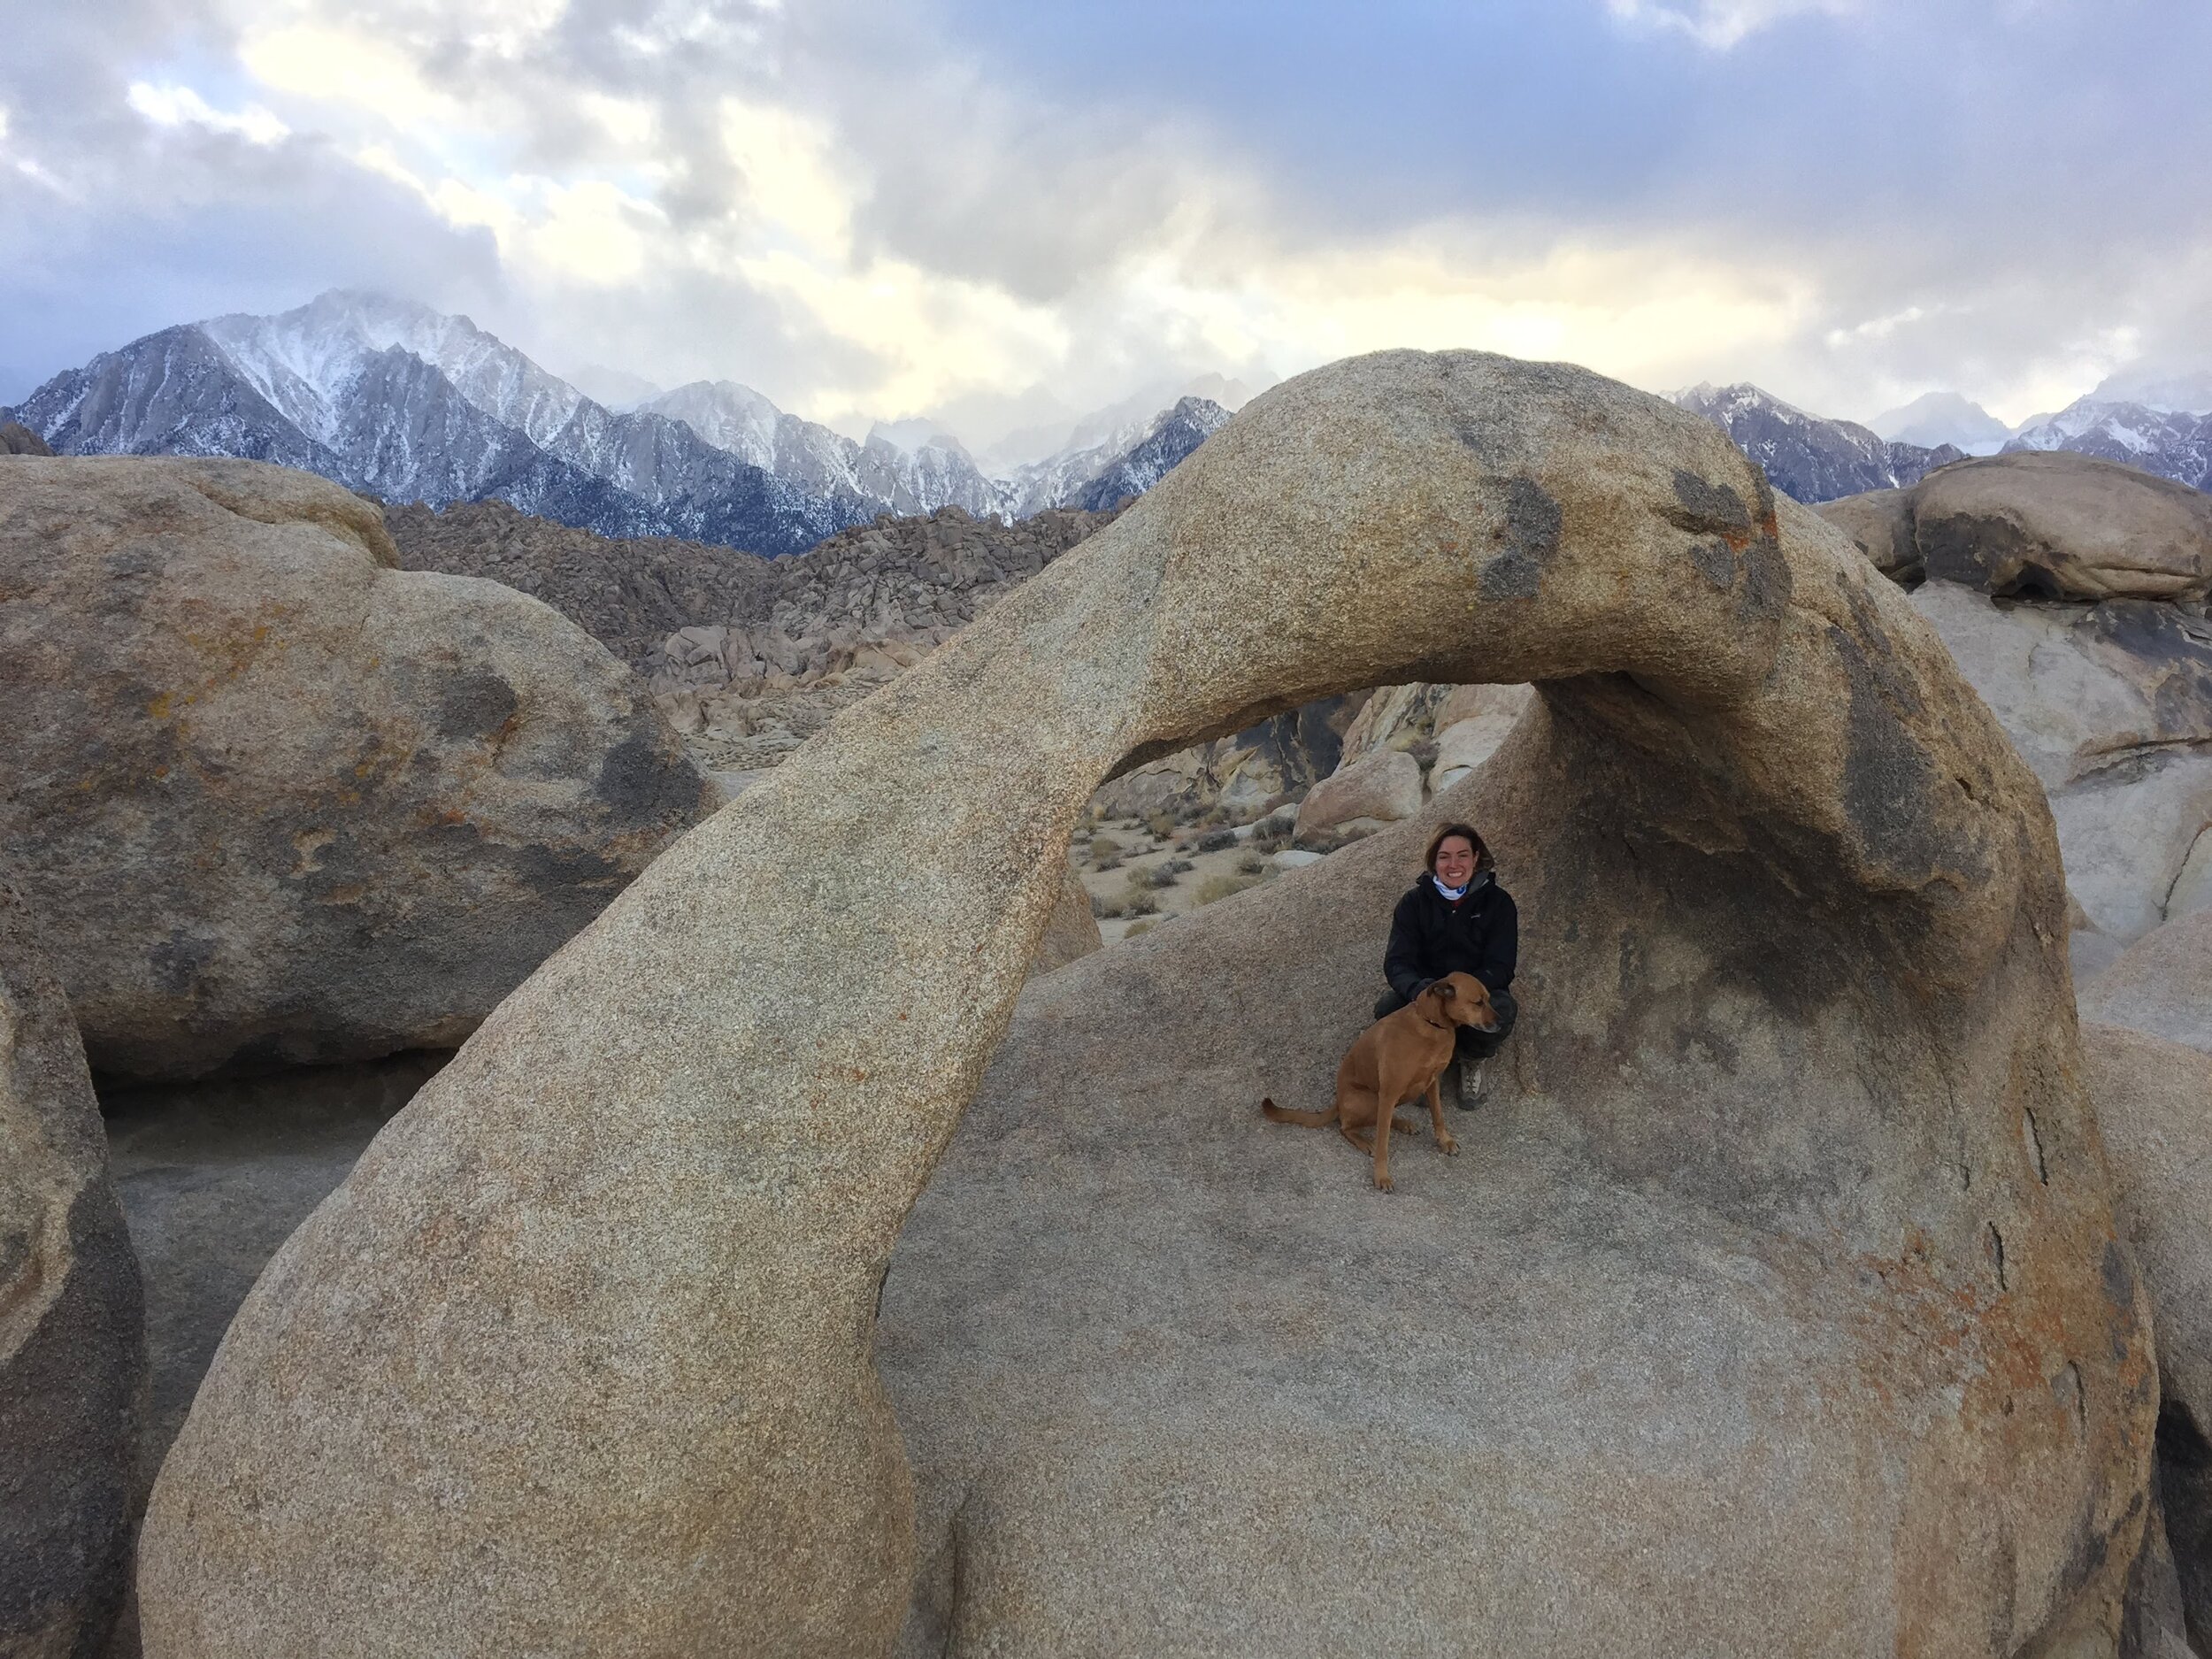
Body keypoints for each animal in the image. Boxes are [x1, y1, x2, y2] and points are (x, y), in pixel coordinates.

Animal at [1260, 972, 1499, 1193]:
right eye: (1478, 1002)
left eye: (1488, 999)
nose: (1501, 1022)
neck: (1431, 1024)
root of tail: (1338, 1102)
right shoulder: (1389, 1091)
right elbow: (1383, 1142)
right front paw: (1382, 1176)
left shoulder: (1432, 1083)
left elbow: (1438, 1115)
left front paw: (1445, 1140)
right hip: (1370, 1099)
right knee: (1348, 1127)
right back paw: (1365, 1140)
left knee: (1380, 1120)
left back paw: (1403, 1123)